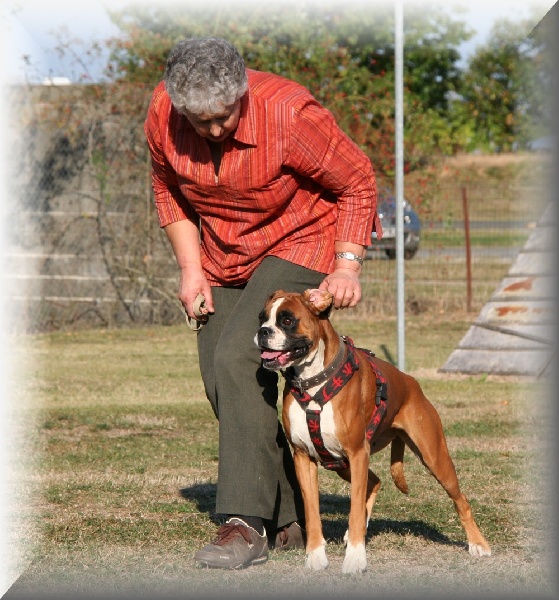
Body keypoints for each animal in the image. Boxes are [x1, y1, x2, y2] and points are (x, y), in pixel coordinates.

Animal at [256, 288, 492, 576]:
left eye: (287, 320)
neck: (313, 381)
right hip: (341, 462)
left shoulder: (357, 452)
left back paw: (478, 544)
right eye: (262, 318)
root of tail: (410, 382)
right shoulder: (304, 458)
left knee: (460, 500)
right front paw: (315, 556)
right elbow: (312, 514)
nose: (263, 332)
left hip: (433, 457)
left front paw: (355, 559)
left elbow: (355, 509)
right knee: (375, 480)